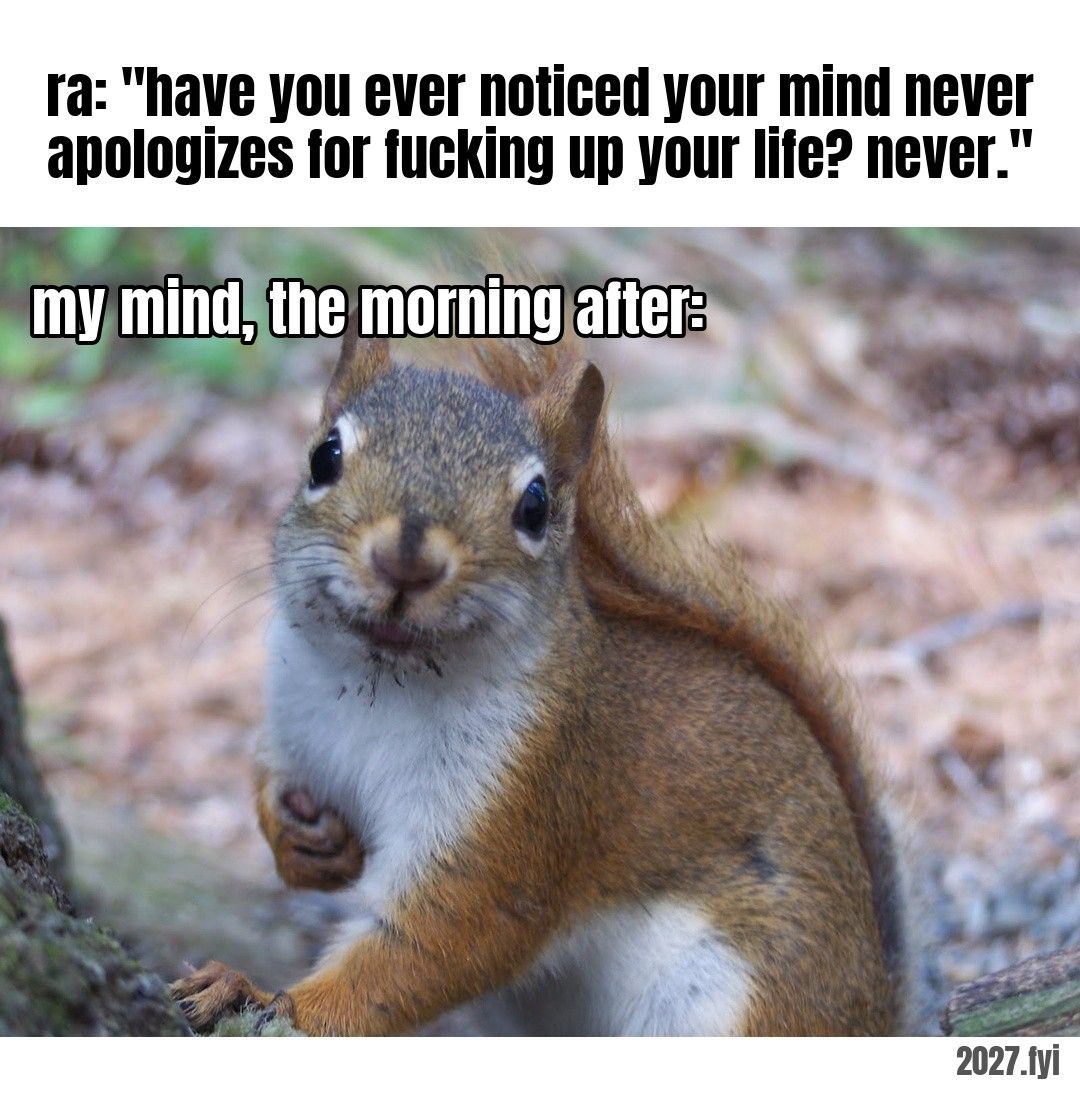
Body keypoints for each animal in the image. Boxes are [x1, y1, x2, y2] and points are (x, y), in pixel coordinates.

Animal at [171, 327, 921, 1035]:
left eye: (534, 505)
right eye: (324, 456)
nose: (405, 559)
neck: (379, 680)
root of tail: (875, 1015)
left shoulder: (527, 800)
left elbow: (437, 943)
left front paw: (266, 996)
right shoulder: (293, 713)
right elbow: (271, 788)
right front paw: (301, 841)